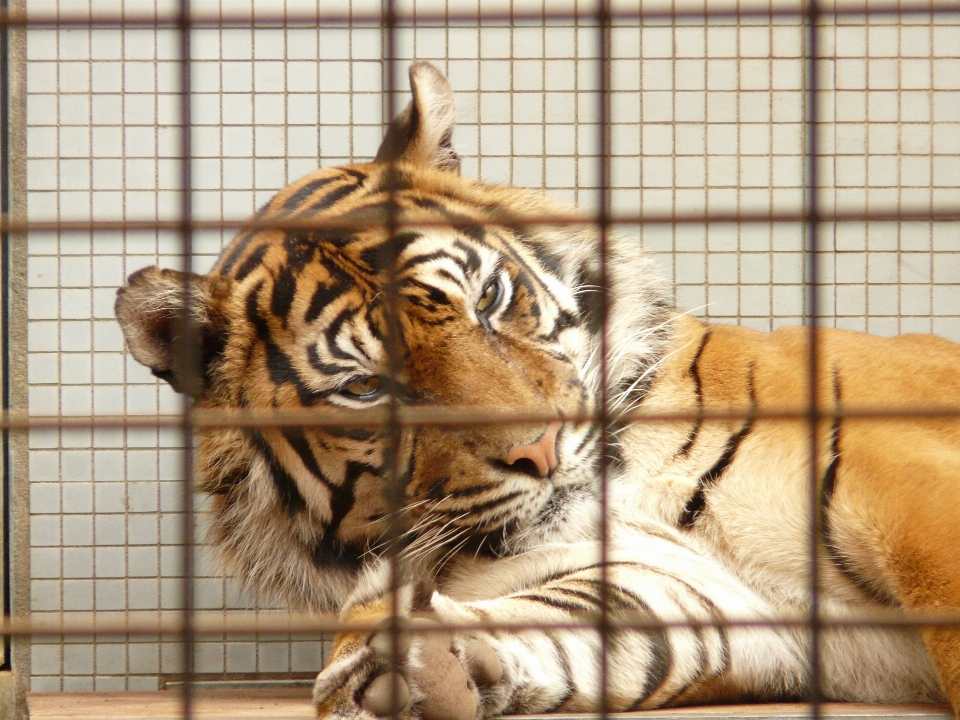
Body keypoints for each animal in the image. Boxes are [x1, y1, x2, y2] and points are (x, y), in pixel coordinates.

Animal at [118, 62, 960, 720]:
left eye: (489, 298)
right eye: (367, 388)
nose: (540, 449)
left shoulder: (907, 488)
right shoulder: (686, 586)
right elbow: (571, 624)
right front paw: (410, 661)